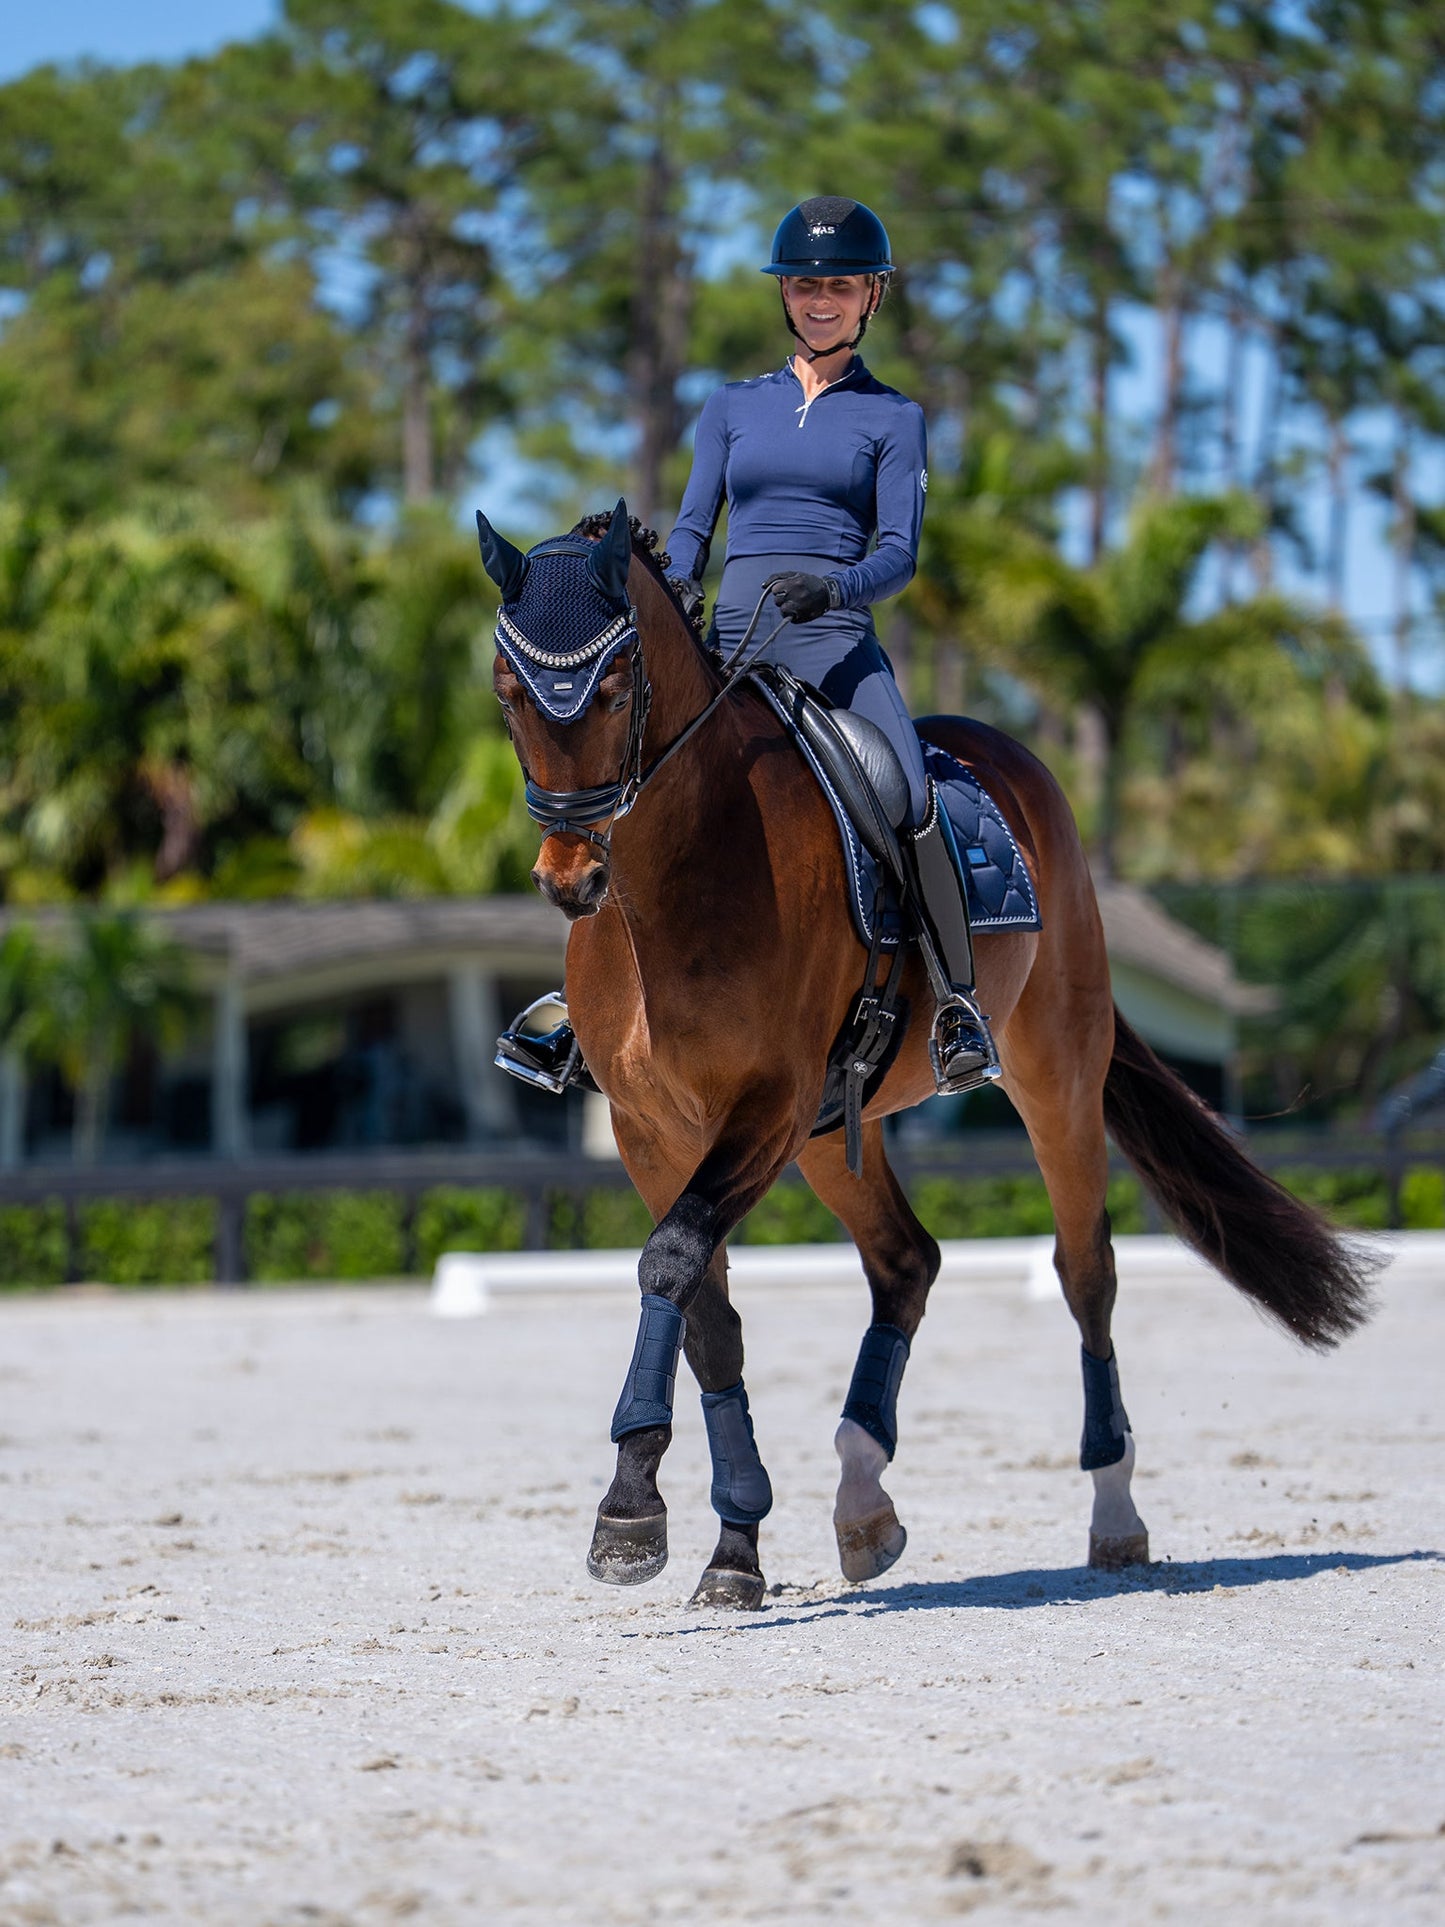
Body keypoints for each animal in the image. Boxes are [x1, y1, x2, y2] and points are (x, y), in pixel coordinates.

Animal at [477, 498, 1375, 1611]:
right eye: (507, 688)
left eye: (611, 685)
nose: (570, 878)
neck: (676, 879)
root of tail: (1009, 757)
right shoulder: (653, 1129)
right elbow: (701, 1312)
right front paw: (729, 1548)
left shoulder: (764, 1107)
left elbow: (671, 1263)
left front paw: (629, 1510)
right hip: (831, 1134)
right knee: (907, 1260)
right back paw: (862, 1501)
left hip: (1048, 1079)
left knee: (1084, 1271)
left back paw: (1113, 1511)